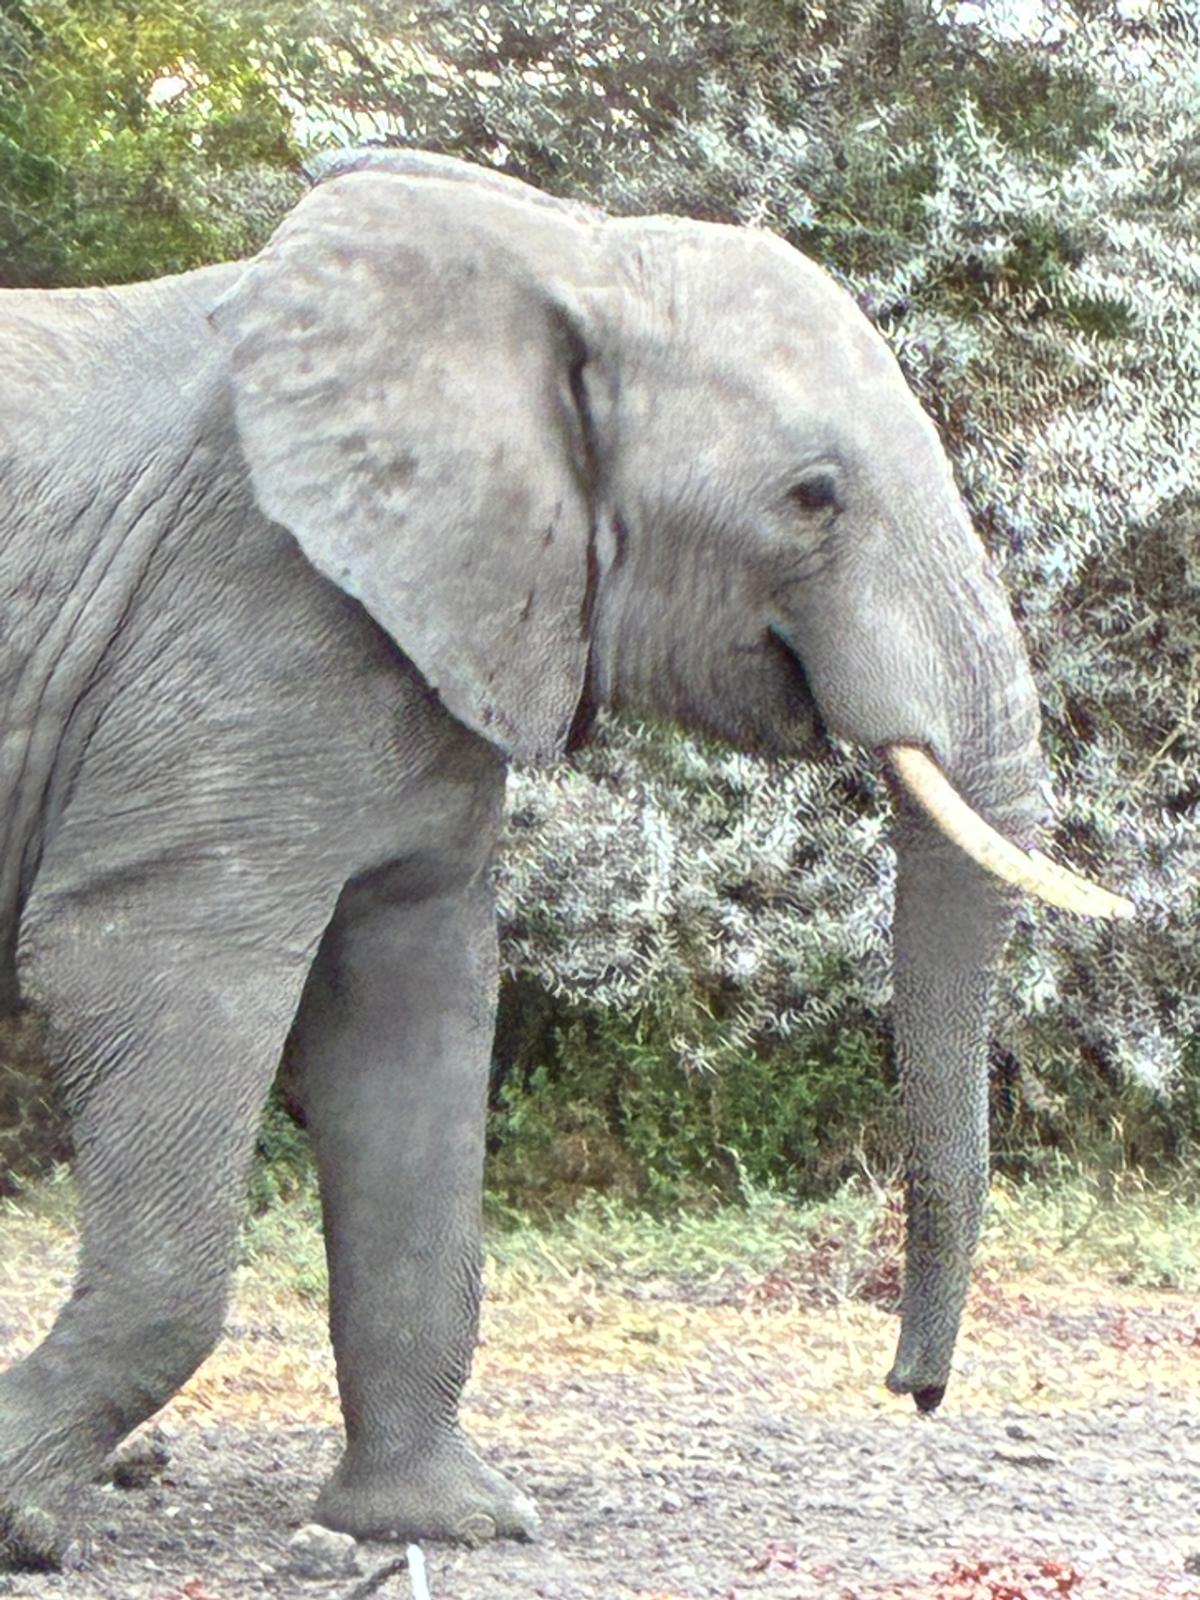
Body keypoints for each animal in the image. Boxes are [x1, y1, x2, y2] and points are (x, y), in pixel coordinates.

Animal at [0, 146, 1130, 1566]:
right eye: (813, 498)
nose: (912, 1391)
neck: (567, 257)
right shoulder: (241, 609)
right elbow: (148, 968)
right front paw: (21, 1517)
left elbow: (414, 1009)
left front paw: (446, 1524)